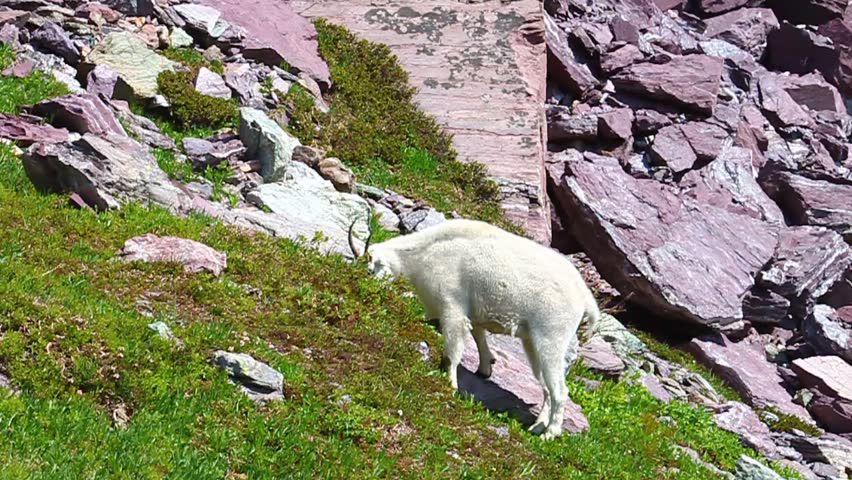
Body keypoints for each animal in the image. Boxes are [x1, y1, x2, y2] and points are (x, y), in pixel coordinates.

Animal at [349, 218, 600, 440]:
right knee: (547, 387)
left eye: (371, 269)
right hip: (532, 341)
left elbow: (453, 351)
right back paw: (537, 426)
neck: (424, 255)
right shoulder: (474, 313)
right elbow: (478, 334)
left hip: (552, 337)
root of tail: (586, 300)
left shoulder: (452, 306)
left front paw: (450, 385)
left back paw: (550, 433)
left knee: (560, 390)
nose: (366, 289)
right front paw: (485, 367)